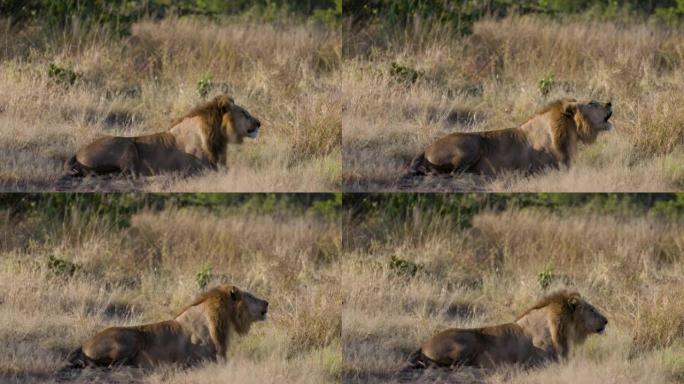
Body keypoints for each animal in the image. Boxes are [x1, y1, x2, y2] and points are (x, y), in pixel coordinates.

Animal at [62, 284, 268, 368]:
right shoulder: (201, 359)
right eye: (250, 296)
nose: (267, 302)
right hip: (133, 338)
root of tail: (83, 344)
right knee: (112, 365)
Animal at [64, 94, 262, 177]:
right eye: (245, 114)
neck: (217, 136)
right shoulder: (199, 166)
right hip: (127, 145)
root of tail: (78, 152)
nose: (259, 123)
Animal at [406, 98, 616, 178]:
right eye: (592, 102)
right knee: (454, 172)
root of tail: (425, 148)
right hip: (473, 144)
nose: (609, 102)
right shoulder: (551, 167)